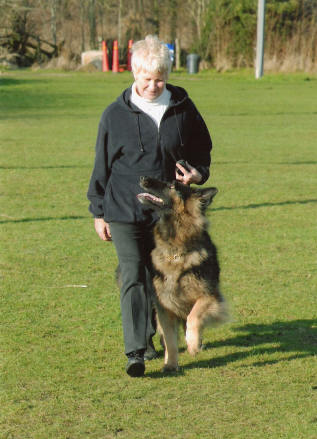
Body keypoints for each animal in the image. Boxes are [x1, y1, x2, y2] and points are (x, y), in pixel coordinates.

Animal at [136, 175, 227, 372]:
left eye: (172, 185)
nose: (143, 177)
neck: (176, 250)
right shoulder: (164, 308)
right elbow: (170, 340)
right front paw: (170, 364)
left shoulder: (210, 296)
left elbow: (193, 317)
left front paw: (192, 344)